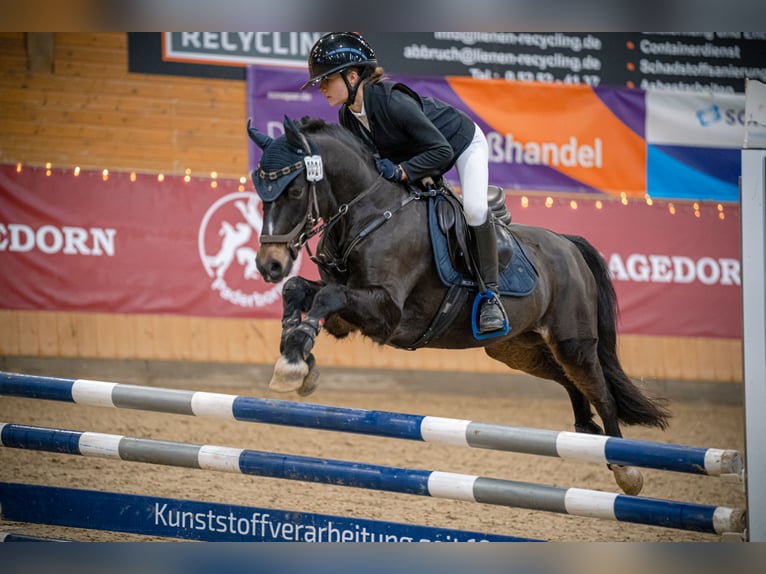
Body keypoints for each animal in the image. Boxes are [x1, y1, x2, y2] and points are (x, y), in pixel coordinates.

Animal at [248, 115, 671, 496]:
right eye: (262, 194)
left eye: (295, 192)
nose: (270, 265)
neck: (371, 213)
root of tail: (567, 243)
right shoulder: (347, 315)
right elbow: (300, 290)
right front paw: (295, 354)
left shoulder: (386, 314)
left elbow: (325, 297)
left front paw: (295, 358)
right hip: (518, 348)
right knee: (570, 382)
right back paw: (587, 433)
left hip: (573, 342)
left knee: (601, 391)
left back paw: (625, 468)